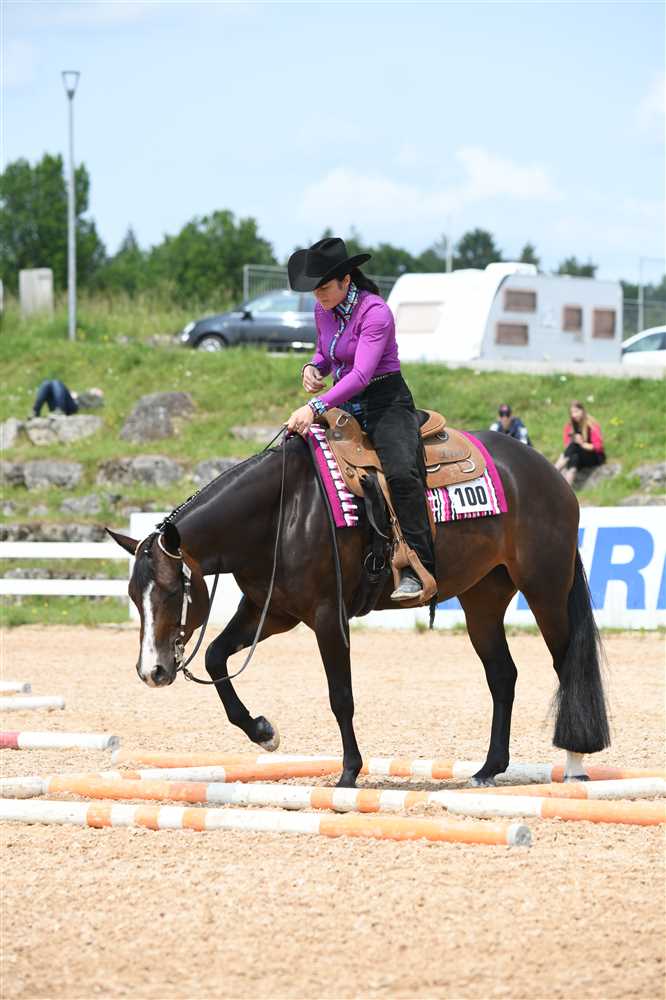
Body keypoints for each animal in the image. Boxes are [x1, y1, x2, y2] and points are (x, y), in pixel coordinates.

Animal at [108, 429, 610, 788]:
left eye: (172, 591)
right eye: (133, 596)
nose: (152, 671)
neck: (283, 511)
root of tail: (550, 475)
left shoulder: (327, 616)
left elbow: (340, 695)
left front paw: (349, 771)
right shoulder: (272, 611)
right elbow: (215, 658)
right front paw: (263, 732)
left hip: (545, 589)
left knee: (566, 665)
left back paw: (575, 764)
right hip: (482, 599)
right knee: (502, 675)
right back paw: (488, 768)